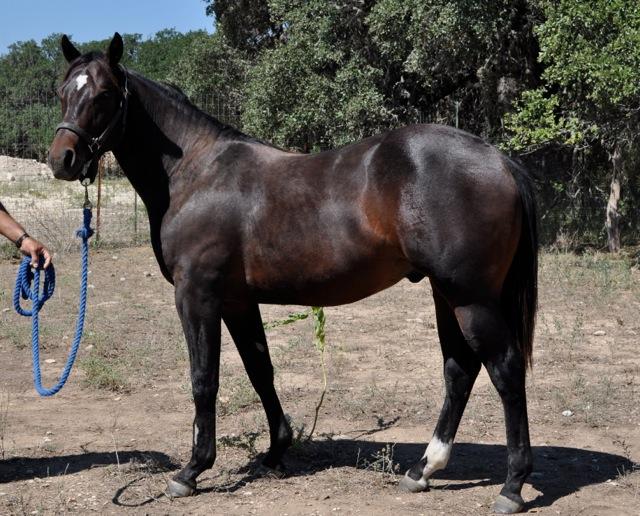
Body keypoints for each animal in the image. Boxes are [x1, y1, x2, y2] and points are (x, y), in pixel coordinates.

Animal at [48, 34, 536, 512]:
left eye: (104, 94)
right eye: (63, 92)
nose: (63, 159)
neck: (195, 172)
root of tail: (498, 159)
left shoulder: (197, 295)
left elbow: (204, 379)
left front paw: (191, 470)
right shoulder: (237, 300)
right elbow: (260, 370)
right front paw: (276, 452)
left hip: (470, 297)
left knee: (505, 369)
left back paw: (512, 486)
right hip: (446, 294)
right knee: (460, 370)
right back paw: (423, 470)